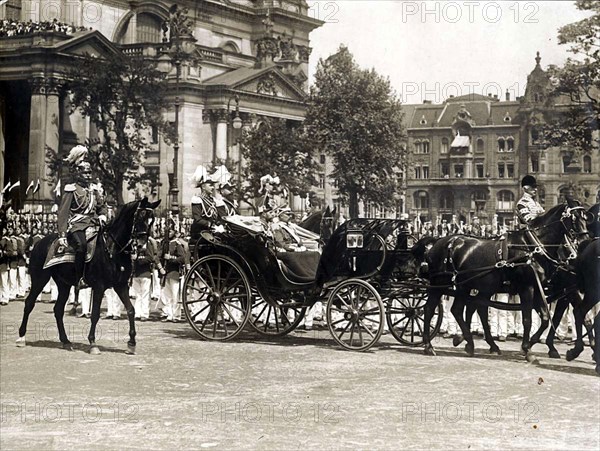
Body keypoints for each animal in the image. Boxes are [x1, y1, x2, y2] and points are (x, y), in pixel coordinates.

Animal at [16, 200, 161, 354]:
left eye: (151, 221)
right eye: (139, 217)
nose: (142, 246)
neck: (113, 248)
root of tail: (39, 242)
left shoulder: (120, 285)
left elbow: (131, 310)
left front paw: (132, 343)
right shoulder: (99, 287)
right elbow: (95, 314)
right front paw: (93, 343)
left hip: (64, 284)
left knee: (58, 310)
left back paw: (66, 341)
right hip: (40, 279)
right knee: (29, 303)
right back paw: (21, 337)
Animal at [422, 200, 592, 358]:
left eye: (585, 217)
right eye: (574, 217)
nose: (584, 241)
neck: (534, 246)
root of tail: (440, 241)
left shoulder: (544, 289)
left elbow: (547, 319)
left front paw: (537, 344)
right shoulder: (529, 288)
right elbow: (529, 319)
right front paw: (528, 348)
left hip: (470, 286)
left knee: (462, 309)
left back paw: (474, 343)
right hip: (441, 283)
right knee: (430, 308)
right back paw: (429, 345)